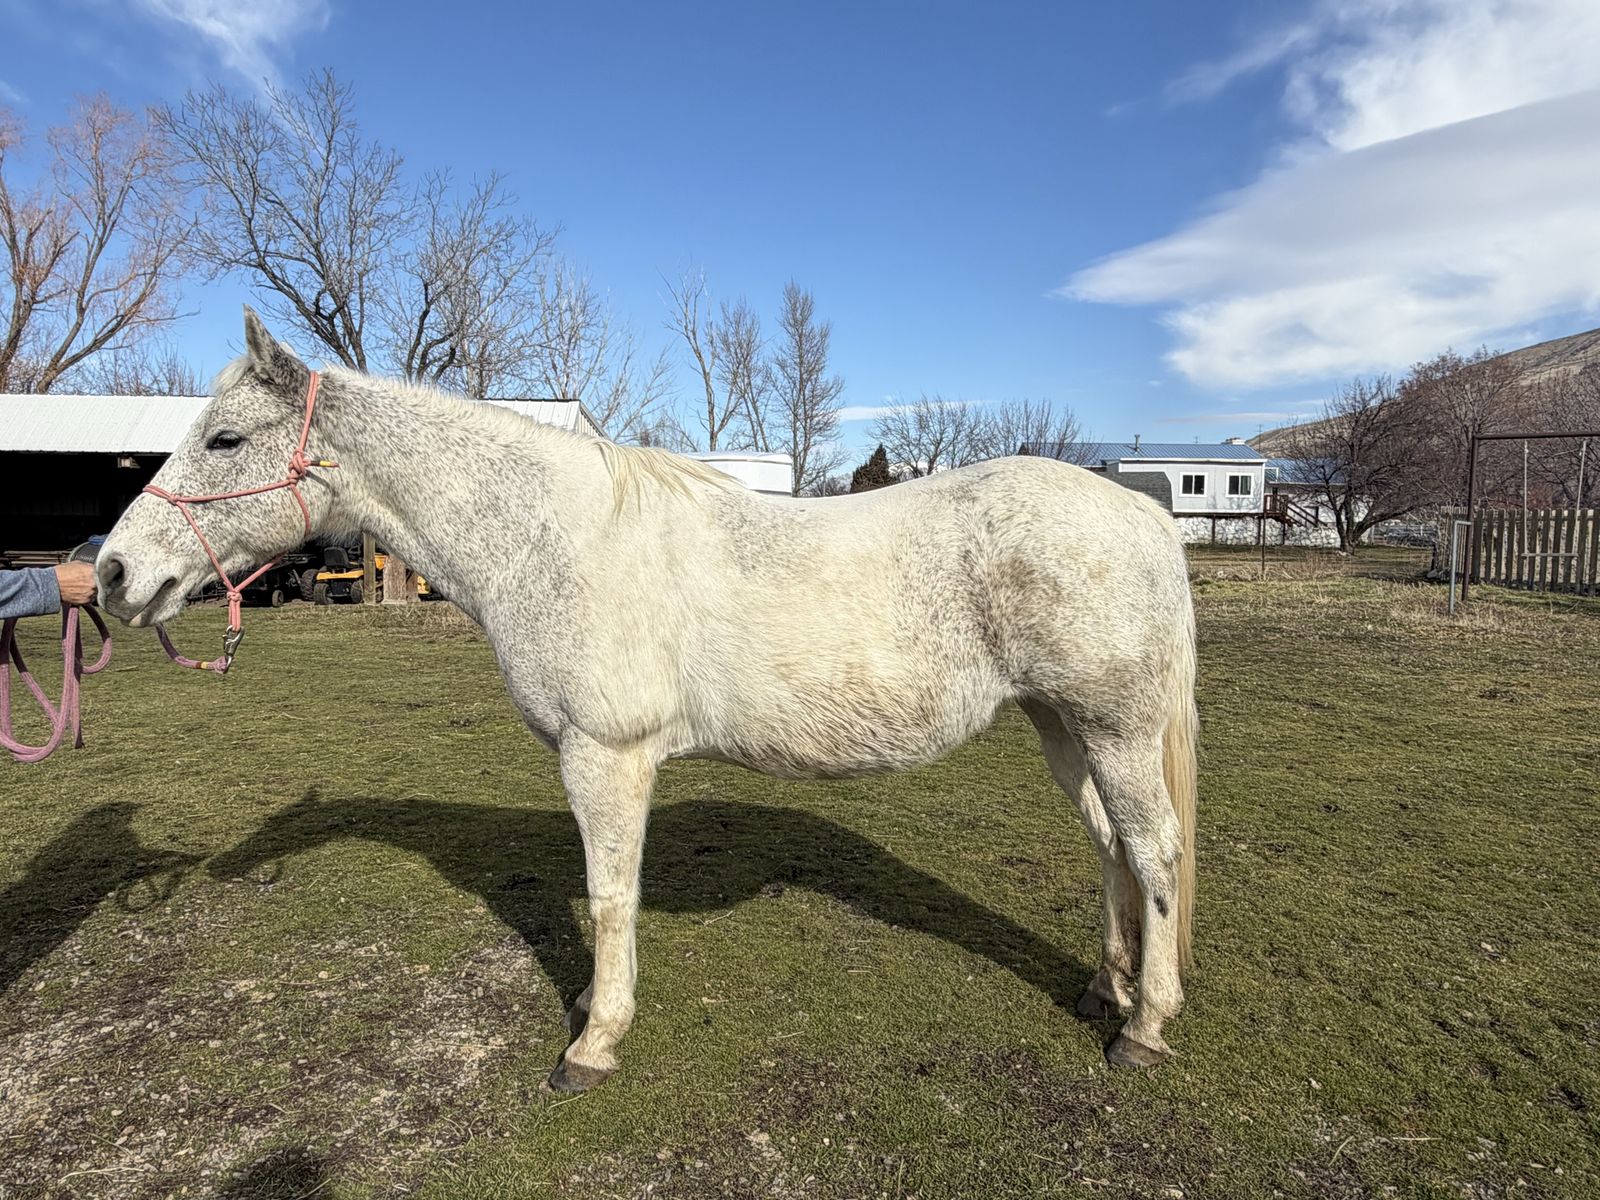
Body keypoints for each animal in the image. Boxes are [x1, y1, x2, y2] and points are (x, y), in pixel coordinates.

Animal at [97, 308, 1199, 1093]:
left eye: (225, 439)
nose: (111, 574)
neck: (551, 538)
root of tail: (1140, 510)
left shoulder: (606, 755)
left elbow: (609, 893)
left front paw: (592, 1041)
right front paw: (592, 1002)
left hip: (1112, 726)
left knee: (1152, 851)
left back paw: (1145, 1027)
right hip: (1063, 728)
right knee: (1109, 843)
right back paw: (1106, 987)